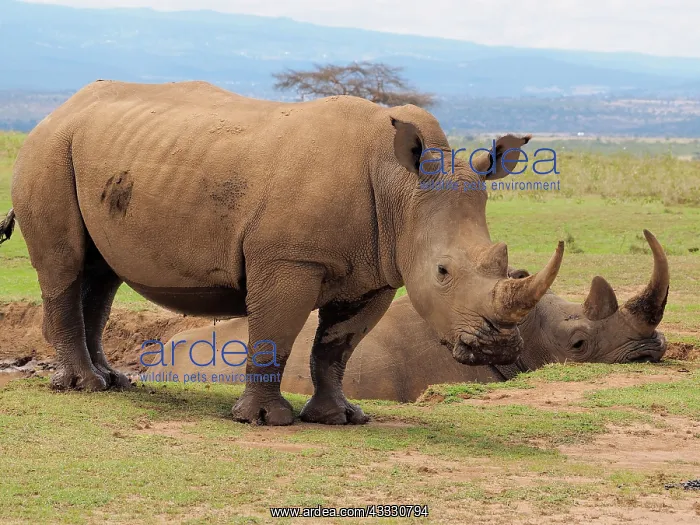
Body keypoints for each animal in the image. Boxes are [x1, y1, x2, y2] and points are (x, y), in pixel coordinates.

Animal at [2, 80, 563, 425]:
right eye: (442, 271)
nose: (498, 350)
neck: (401, 189)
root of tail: (57, 111)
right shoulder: (289, 258)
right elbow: (275, 333)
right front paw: (263, 421)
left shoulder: (377, 271)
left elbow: (336, 347)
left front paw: (341, 418)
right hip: (47, 151)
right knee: (64, 265)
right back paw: (83, 387)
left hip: (101, 154)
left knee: (102, 274)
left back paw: (113, 382)